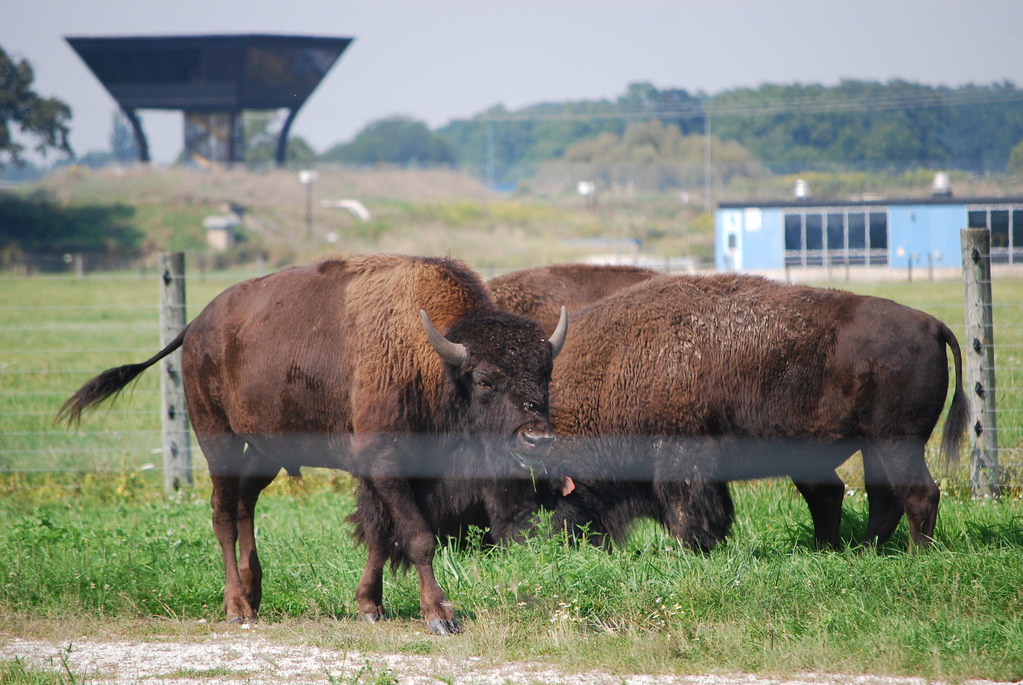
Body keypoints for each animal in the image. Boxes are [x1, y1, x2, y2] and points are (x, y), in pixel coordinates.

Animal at [60, 254, 567, 634]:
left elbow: (380, 535)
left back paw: (255, 593)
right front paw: (440, 616)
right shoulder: (385, 463)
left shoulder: (388, 472)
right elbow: (419, 537)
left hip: (266, 449)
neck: (431, 357)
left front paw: (370, 608)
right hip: (216, 436)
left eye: (545, 372)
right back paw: (237, 608)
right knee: (222, 513)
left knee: (245, 502)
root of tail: (197, 326)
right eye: (485, 380)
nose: (538, 438)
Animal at [491, 267, 967, 551]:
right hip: (871, 447)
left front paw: (691, 551)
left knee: (919, 494)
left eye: (541, 494)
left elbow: (688, 515)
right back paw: (859, 552)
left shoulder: (682, 459)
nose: (525, 546)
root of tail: (931, 324)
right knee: (875, 499)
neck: (614, 368)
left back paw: (915, 555)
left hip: (898, 442)